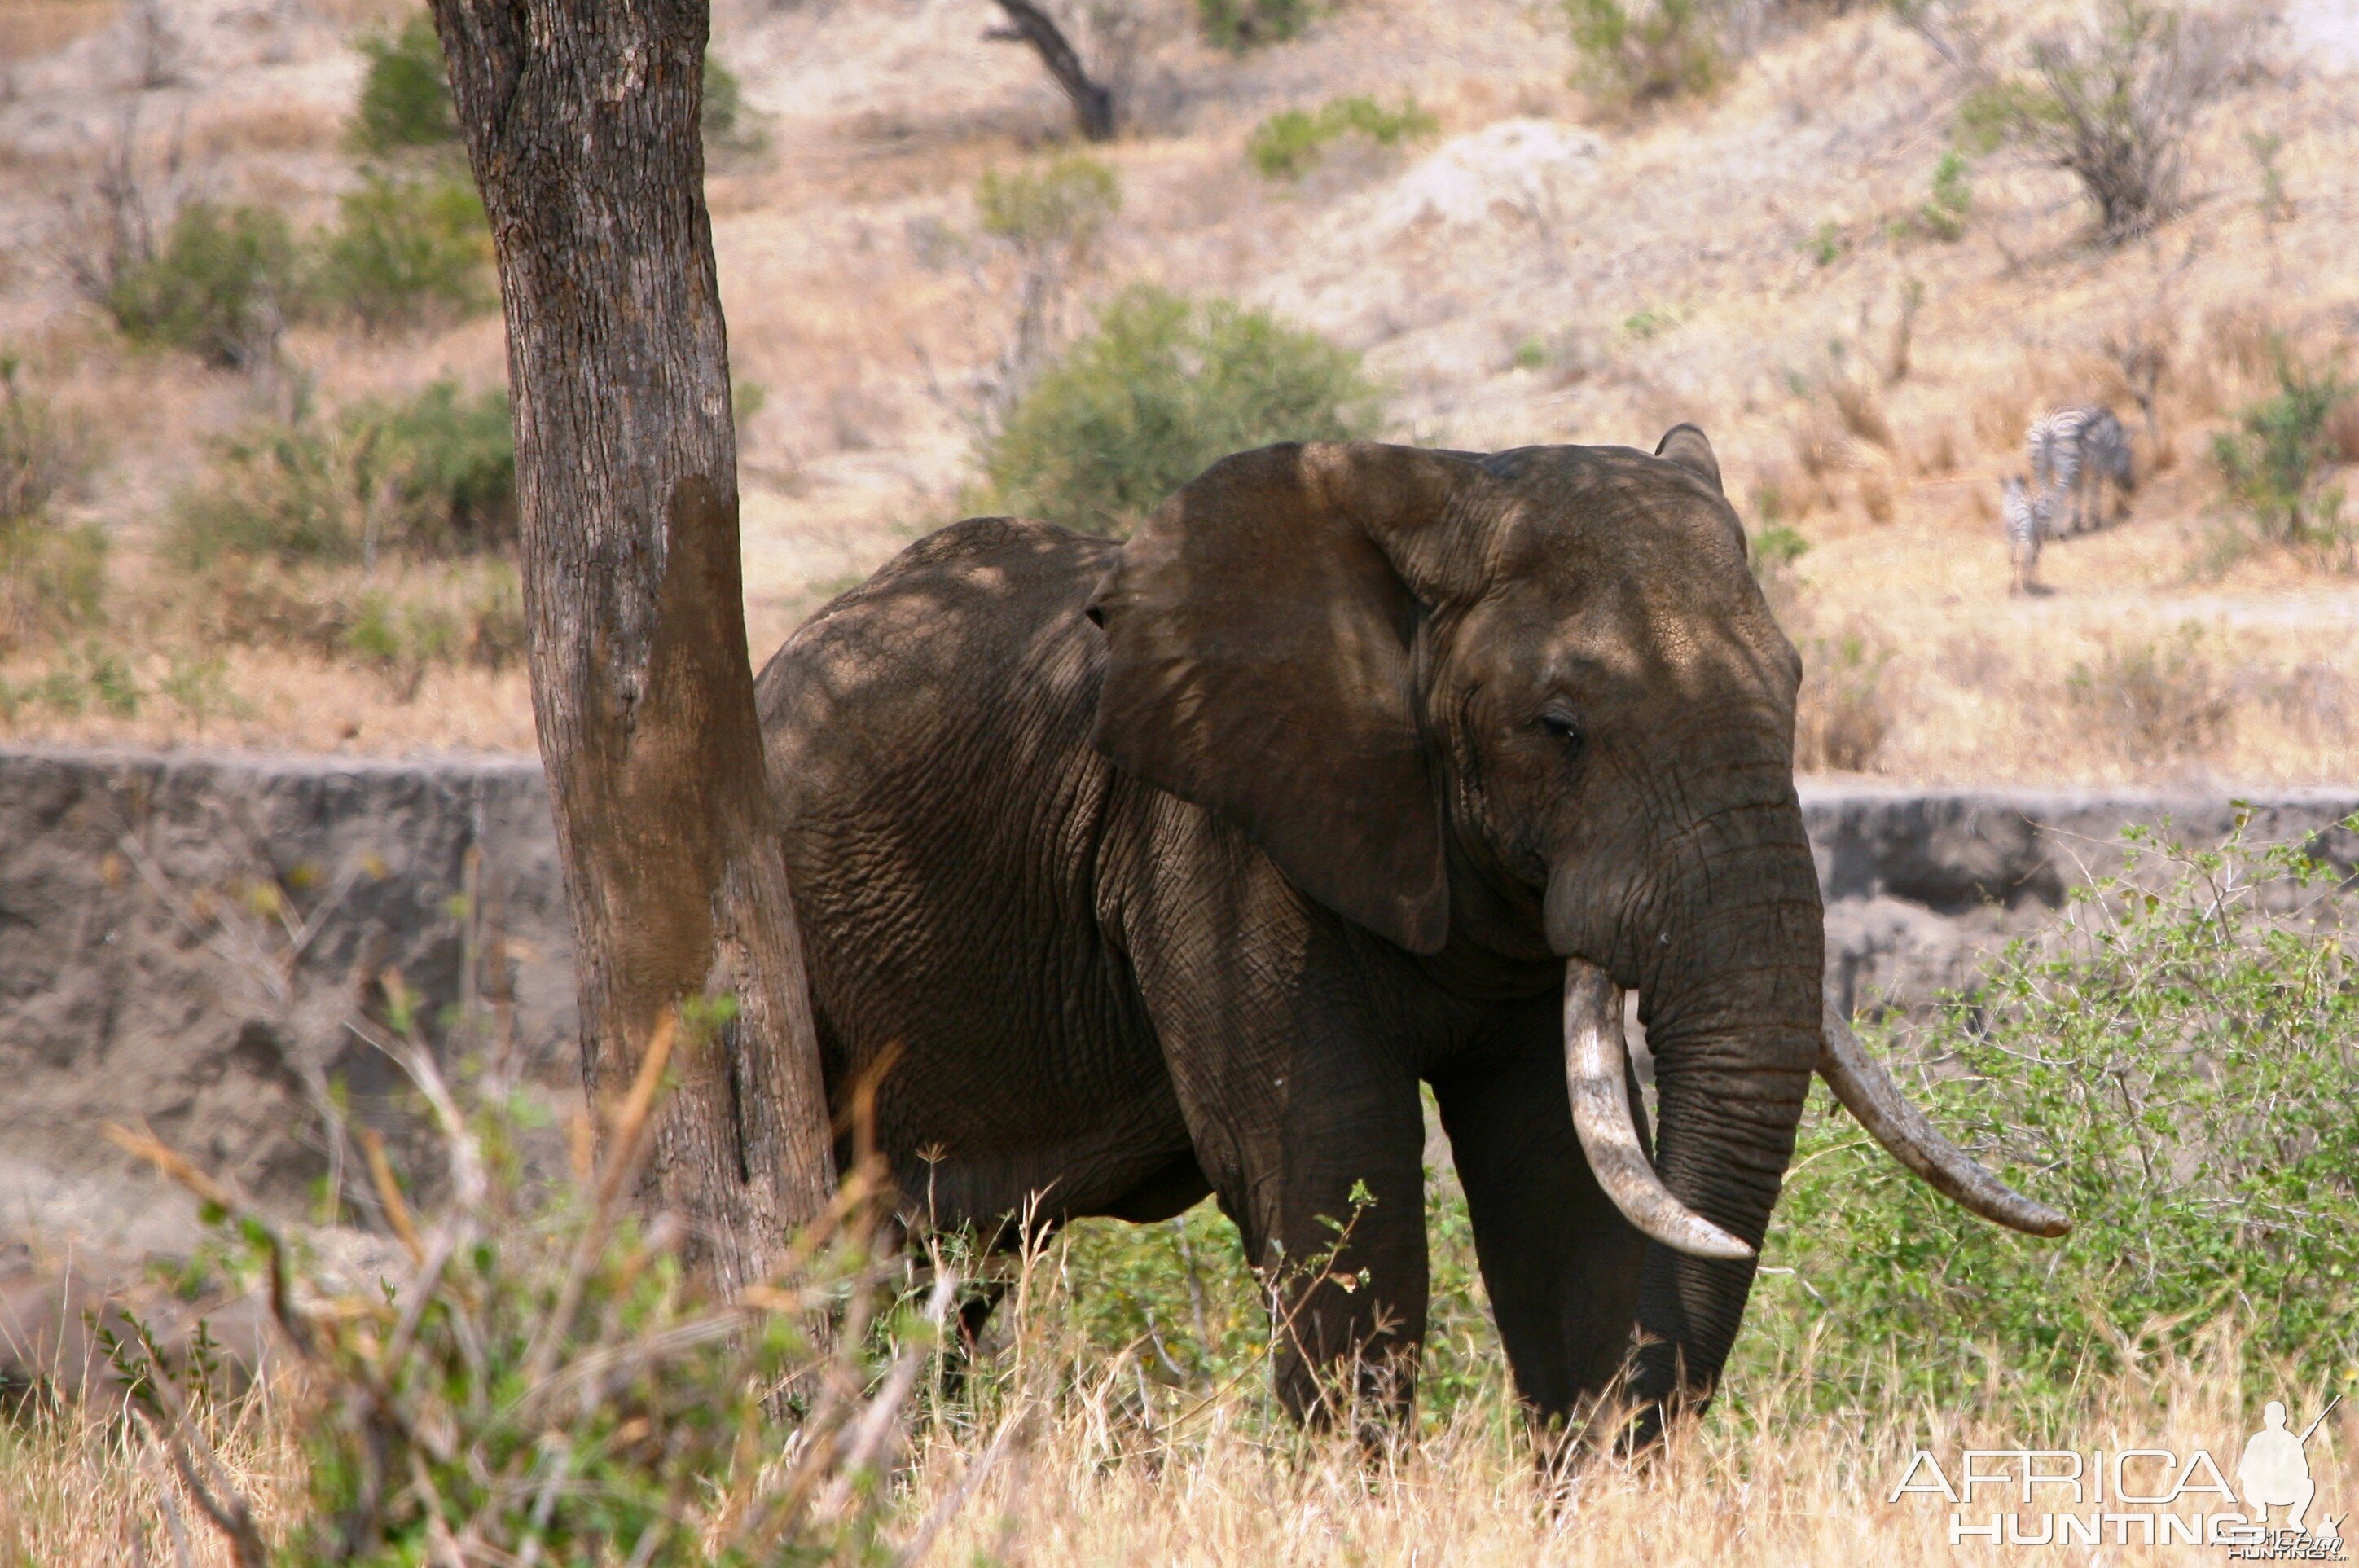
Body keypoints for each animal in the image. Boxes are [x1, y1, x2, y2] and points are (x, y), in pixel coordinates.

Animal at [2019, 403, 2132, 533]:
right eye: (2130, 457)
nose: (2130, 487)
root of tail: (2047, 428)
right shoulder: (2097, 463)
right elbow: (2094, 489)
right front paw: (2095, 520)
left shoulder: (2078, 468)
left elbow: (2079, 491)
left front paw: (2077, 524)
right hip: (2065, 464)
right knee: (2057, 496)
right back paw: (2056, 529)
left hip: (2041, 466)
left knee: (2046, 496)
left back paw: (2046, 529)